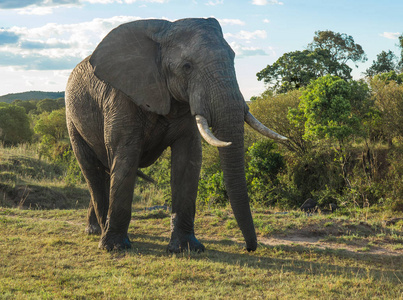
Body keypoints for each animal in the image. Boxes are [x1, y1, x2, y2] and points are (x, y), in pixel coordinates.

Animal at [65, 17, 288, 253]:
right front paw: (116, 247)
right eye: (187, 67)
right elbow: (125, 157)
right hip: (72, 119)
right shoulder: (121, 98)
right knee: (93, 171)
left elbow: (187, 159)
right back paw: (99, 233)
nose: (249, 247)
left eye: (234, 57)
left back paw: (96, 230)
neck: (164, 30)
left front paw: (185, 248)